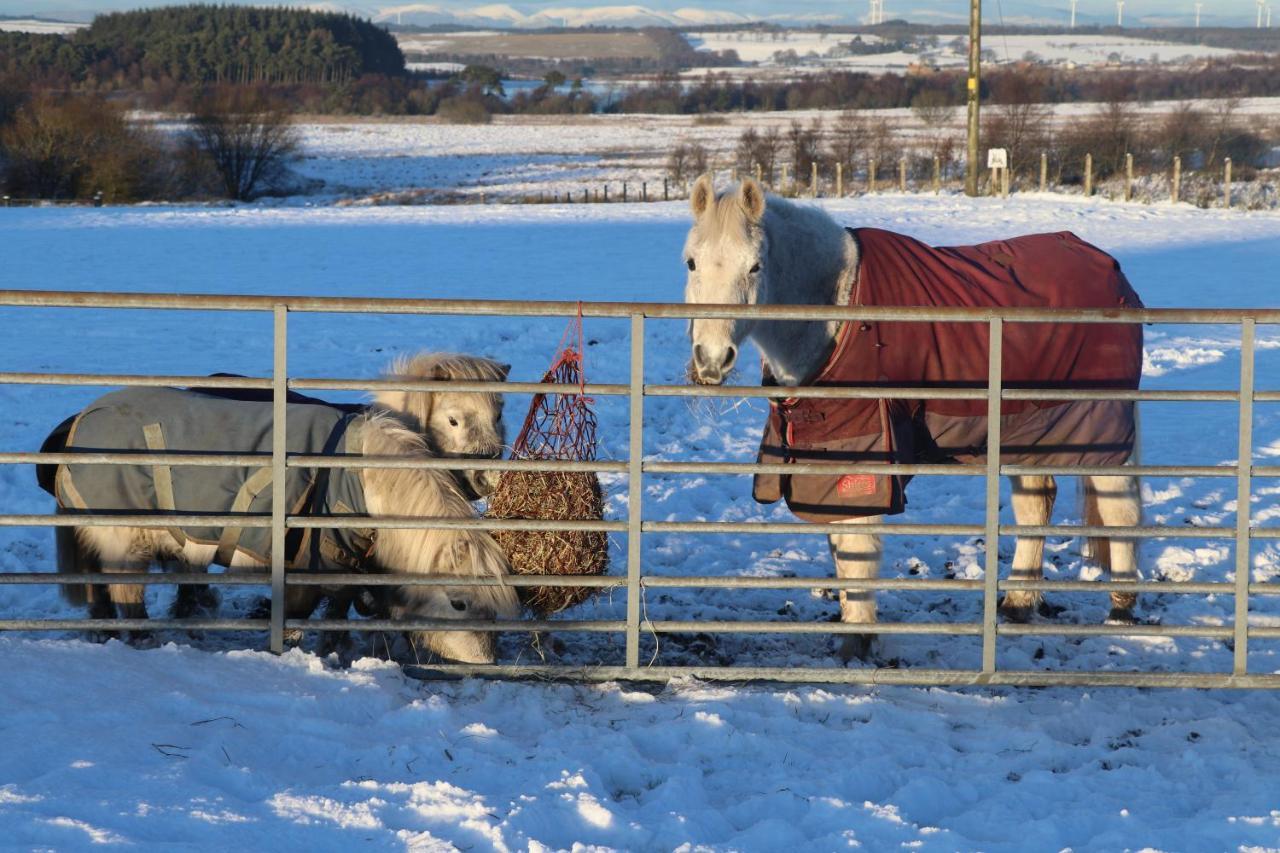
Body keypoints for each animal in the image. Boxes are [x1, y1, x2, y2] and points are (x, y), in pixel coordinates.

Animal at [686, 175, 1146, 660]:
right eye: (692, 262)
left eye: (755, 267)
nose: (711, 359)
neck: (841, 313)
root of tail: (1112, 271)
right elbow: (840, 547)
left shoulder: (866, 457)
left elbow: (857, 548)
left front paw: (856, 640)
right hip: (1030, 427)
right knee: (1036, 503)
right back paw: (1019, 601)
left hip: (1100, 432)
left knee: (1119, 508)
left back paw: (1120, 608)